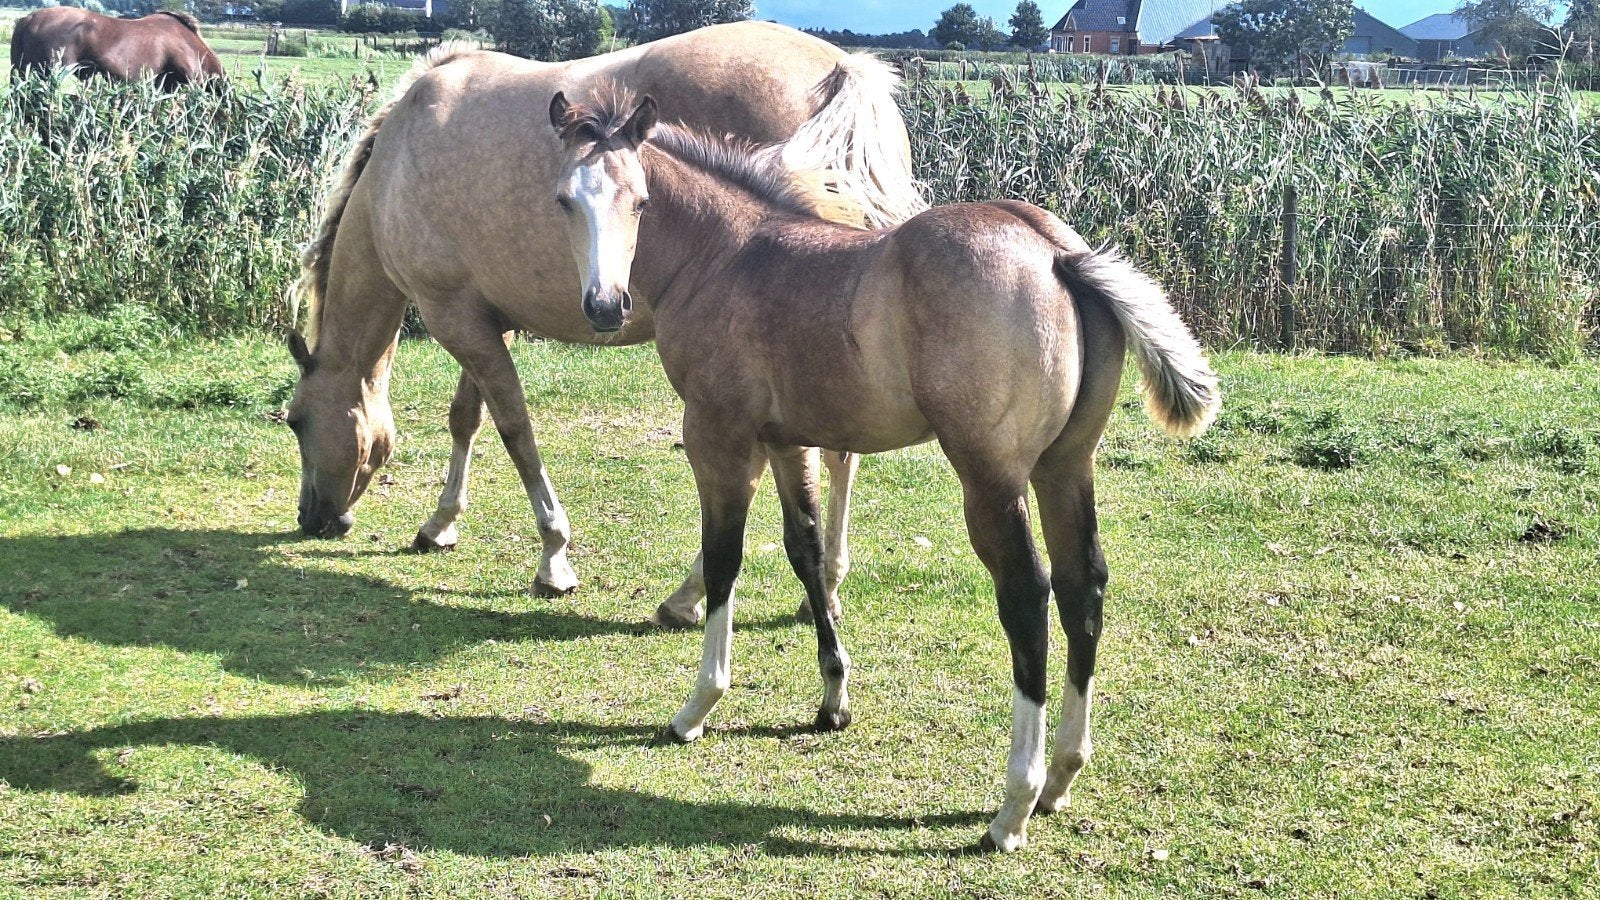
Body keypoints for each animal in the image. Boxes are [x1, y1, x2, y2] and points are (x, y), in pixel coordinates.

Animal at [283, 23, 927, 628]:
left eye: (295, 421)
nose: (312, 517)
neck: (396, 165)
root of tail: (842, 69)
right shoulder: (486, 318)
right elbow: (467, 417)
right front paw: (441, 524)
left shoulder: (454, 318)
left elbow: (515, 429)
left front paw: (553, 557)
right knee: (838, 454)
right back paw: (828, 584)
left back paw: (690, 597)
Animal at [547, 88, 1220, 852]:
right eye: (565, 199)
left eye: (638, 201)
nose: (605, 306)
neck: (723, 255)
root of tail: (1058, 252)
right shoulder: (787, 440)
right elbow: (806, 550)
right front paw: (833, 699)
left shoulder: (718, 434)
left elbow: (725, 561)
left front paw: (697, 706)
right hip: (1065, 466)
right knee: (1085, 586)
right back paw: (1060, 778)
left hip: (990, 478)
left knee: (1028, 594)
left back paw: (1013, 806)